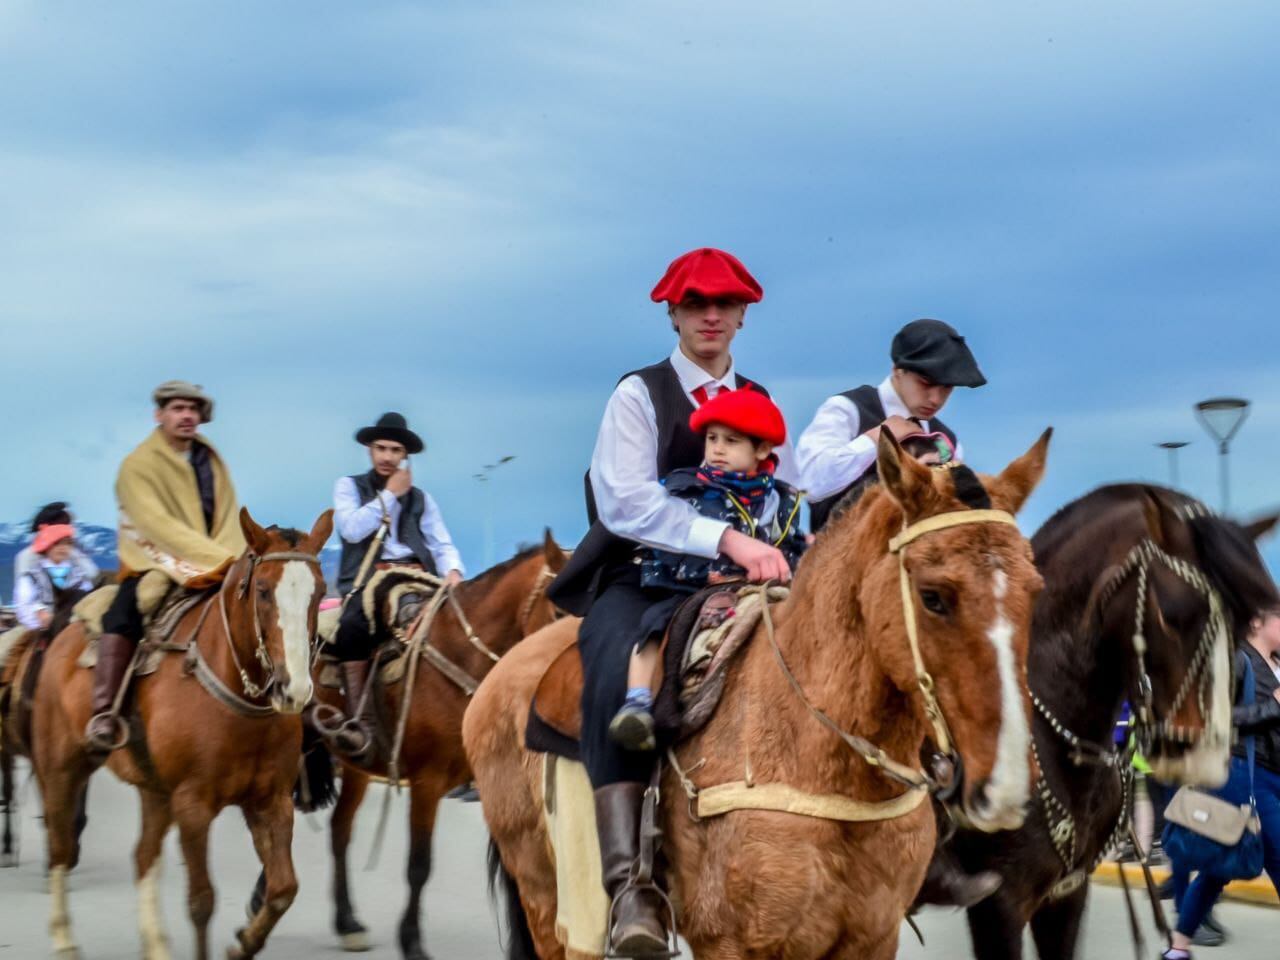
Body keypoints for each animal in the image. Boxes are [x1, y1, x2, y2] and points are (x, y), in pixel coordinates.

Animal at [33, 506, 332, 957]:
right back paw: (64, 938)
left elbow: (282, 888)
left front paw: (244, 942)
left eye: (319, 591)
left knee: (143, 855)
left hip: (154, 790)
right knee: (60, 846)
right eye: (263, 590)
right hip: (62, 767)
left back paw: (155, 944)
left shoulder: (271, 800)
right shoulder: (193, 804)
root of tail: (62, 635)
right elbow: (201, 901)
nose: (293, 689)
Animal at [300, 535, 570, 960]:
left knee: (339, 829)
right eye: (560, 609)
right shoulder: (427, 782)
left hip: (357, 768)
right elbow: (419, 864)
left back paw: (347, 922)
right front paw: (411, 941)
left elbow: (517, 866)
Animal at [465, 432, 1054, 957]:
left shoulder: (869, 939)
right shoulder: (733, 944)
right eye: (933, 596)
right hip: (548, 901)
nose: (1005, 788)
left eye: (1035, 590)